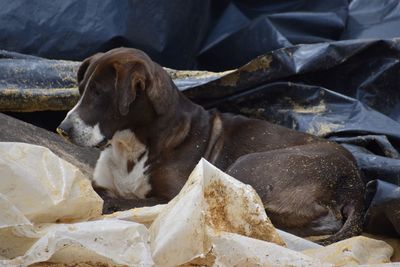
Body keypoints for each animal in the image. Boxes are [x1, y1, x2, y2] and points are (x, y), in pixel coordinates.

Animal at [57, 48, 366, 245]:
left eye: (99, 93)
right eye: (81, 89)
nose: (62, 129)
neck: (132, 144)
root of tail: (354, 185)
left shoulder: (172, 196)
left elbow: (118, 199)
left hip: (246, 166)